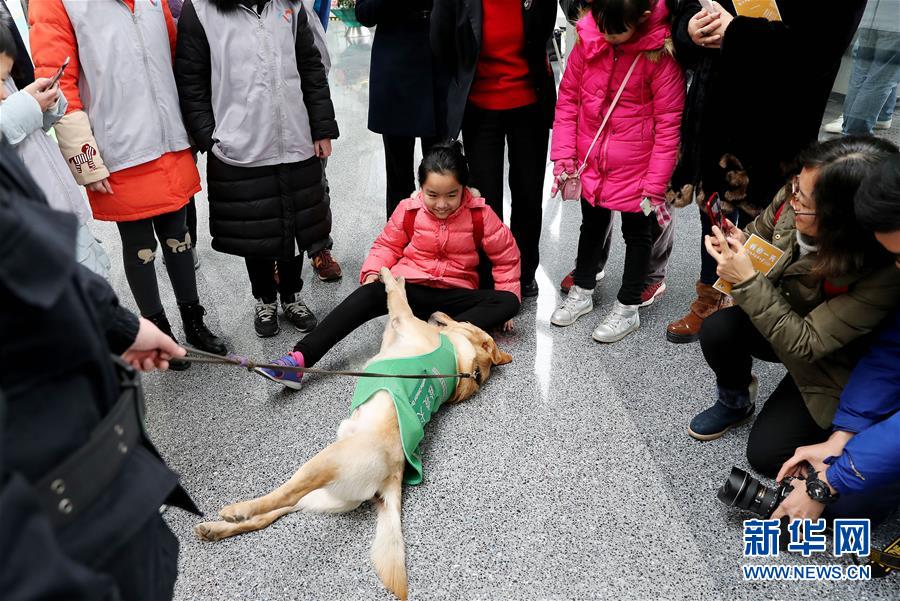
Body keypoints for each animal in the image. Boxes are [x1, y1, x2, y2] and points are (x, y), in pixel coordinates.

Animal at [193, 268, 510, 600]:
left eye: (463, 322)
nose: (437, 311)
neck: (461, 365)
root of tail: (392, 476)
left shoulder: (402, 317)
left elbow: (397, 295)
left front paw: (389, 274)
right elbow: (399, 295)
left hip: (322, 463)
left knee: (281, 496)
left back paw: (237, 511)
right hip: (325, 494)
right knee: (274, 513)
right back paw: (216, 530)